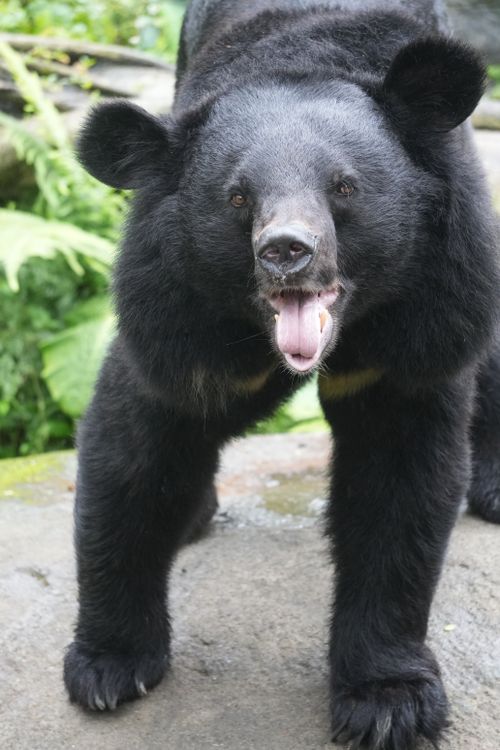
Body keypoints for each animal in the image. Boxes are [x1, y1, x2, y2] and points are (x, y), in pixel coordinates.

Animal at [63, 1, 500, 748]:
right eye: (238, 197)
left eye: (344, 187)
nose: (287, 251)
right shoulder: (173, 310)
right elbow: (136, 452)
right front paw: (107, 668)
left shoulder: (428, 309)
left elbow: (399, 487)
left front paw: (389, 702)